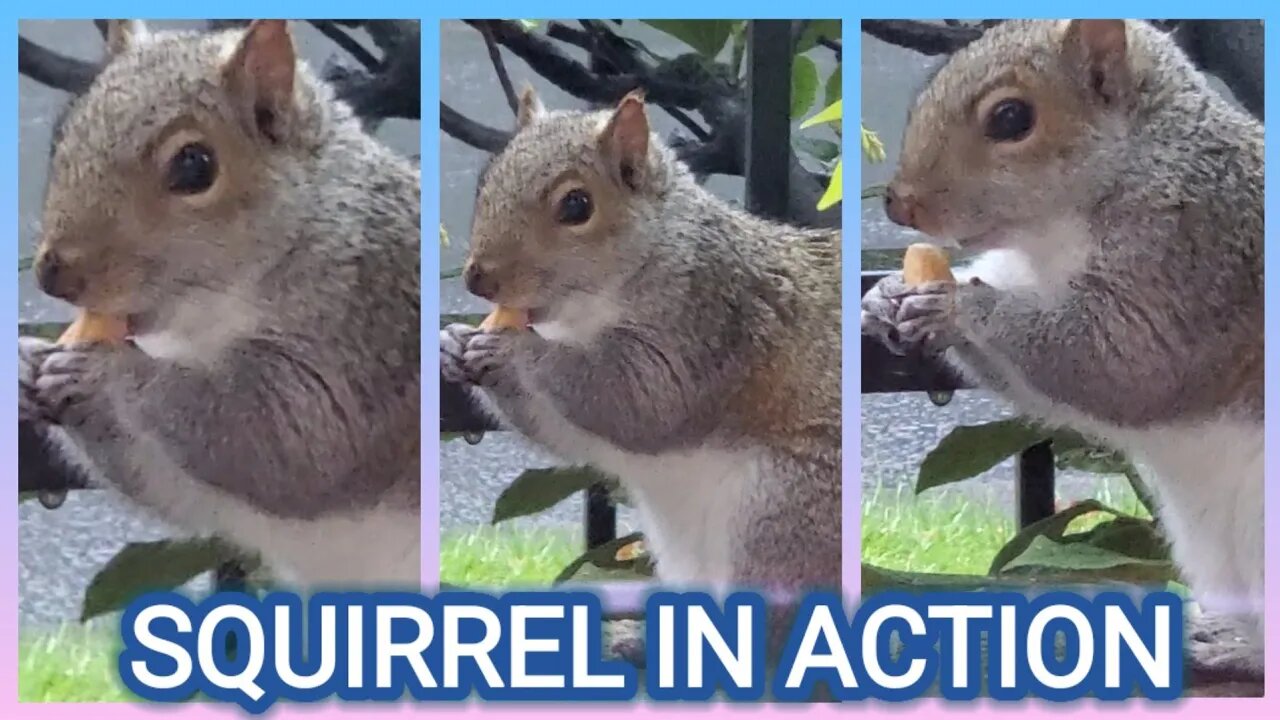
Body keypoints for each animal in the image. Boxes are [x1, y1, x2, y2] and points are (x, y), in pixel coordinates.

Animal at [18, 19, 422, 589]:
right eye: (63, 134)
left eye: (194, 165)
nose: (53, 273)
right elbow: (172, 485)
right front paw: (25, 360)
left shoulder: (367, 323)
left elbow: (292, 434)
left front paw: (102, 370)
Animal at [441, 87, 842, 661]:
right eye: (487, 178)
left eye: (576, 206)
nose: (478, 278)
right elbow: (572, 434)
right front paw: (454, 343)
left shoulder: (707, 321)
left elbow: (639, 400)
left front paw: (514, 350)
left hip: (783, 517)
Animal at [862, 20, 1264, 678]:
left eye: (1010, 118)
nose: (899, 202)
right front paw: (890, 294)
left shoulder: (1189, 257)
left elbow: (1123, 363)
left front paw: (958, 306)